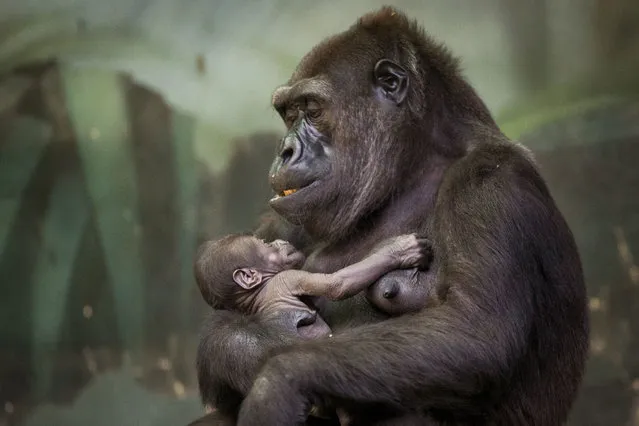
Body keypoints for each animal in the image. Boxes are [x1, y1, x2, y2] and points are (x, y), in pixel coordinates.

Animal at [195, 231, 432, 338]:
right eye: (265, 245)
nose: (277, 241)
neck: (257, 292)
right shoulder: (289, 278)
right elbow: (337, 284)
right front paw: (399, 250)